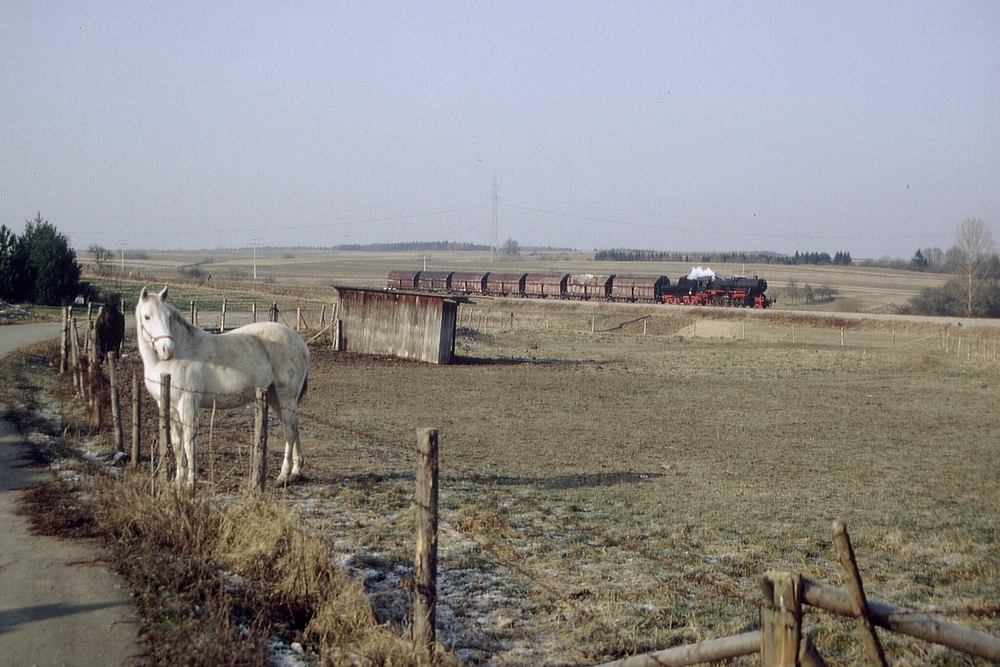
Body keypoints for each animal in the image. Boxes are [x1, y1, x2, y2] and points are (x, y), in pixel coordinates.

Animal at [136, 286, 308, 486]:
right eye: (147, 316)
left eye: (168, 317)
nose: (167, 349)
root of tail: (301, 344)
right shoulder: (169, 406)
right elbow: (177, 442)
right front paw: (179, 480)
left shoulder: (188, 403)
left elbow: (189, 442)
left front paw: (190, 482)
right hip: (275, 399)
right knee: (294, 428)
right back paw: (296, 472)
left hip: (286, 397)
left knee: (289, 432)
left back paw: (283, 475)